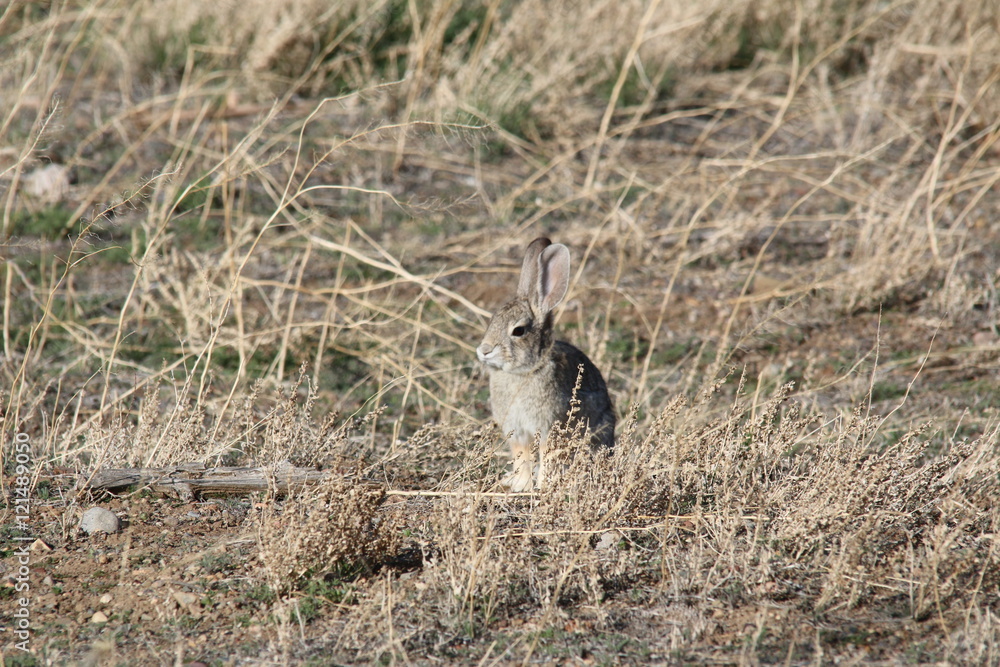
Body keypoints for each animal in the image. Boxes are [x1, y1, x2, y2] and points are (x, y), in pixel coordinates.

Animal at [476, 237, 615, 492]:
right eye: (493, 320)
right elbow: (522, 457)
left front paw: (542, 485)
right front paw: (521, 485)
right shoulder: (518, 432)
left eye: (518, 331)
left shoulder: (549, 429)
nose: (484, 350)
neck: (524, 371)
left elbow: (547, 456)